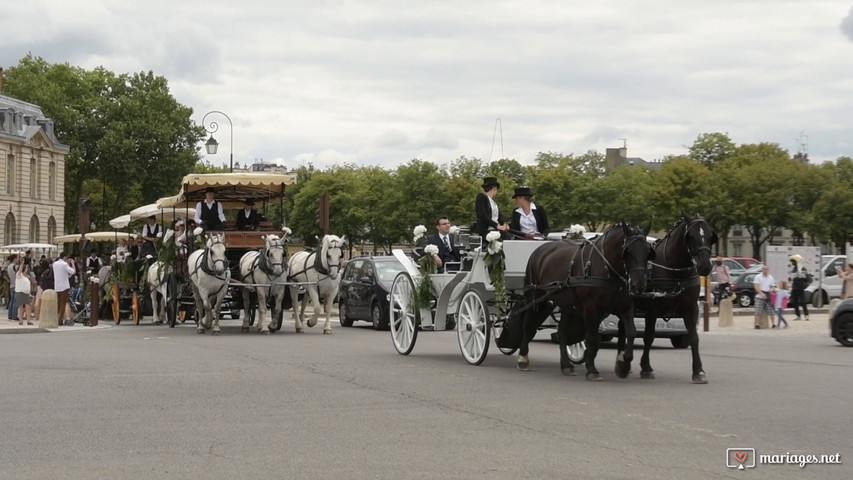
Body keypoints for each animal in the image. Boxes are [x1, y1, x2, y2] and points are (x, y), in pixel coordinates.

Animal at [520, 222, 652, 382]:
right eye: (627, 252)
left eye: (648, 252)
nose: (639, 286)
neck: (607, 269)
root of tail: (540, 249)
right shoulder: (590, 308)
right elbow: (591, 338)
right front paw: (592, 370)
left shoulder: (624, 308)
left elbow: (631, 332)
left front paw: (623, 366)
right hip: (535, 297)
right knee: (527, 325)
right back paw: (523, 358)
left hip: (567, 305)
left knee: (562, 332)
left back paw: (566, 366)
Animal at [624, 213, 720, 382]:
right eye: (691, 236)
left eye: (710, 236)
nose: (705, 266)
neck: (676, 273)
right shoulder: (652, 310)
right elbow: (648, 337)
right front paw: (646, 367)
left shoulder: (691, 309)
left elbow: (694, 338)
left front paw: (698, 371)